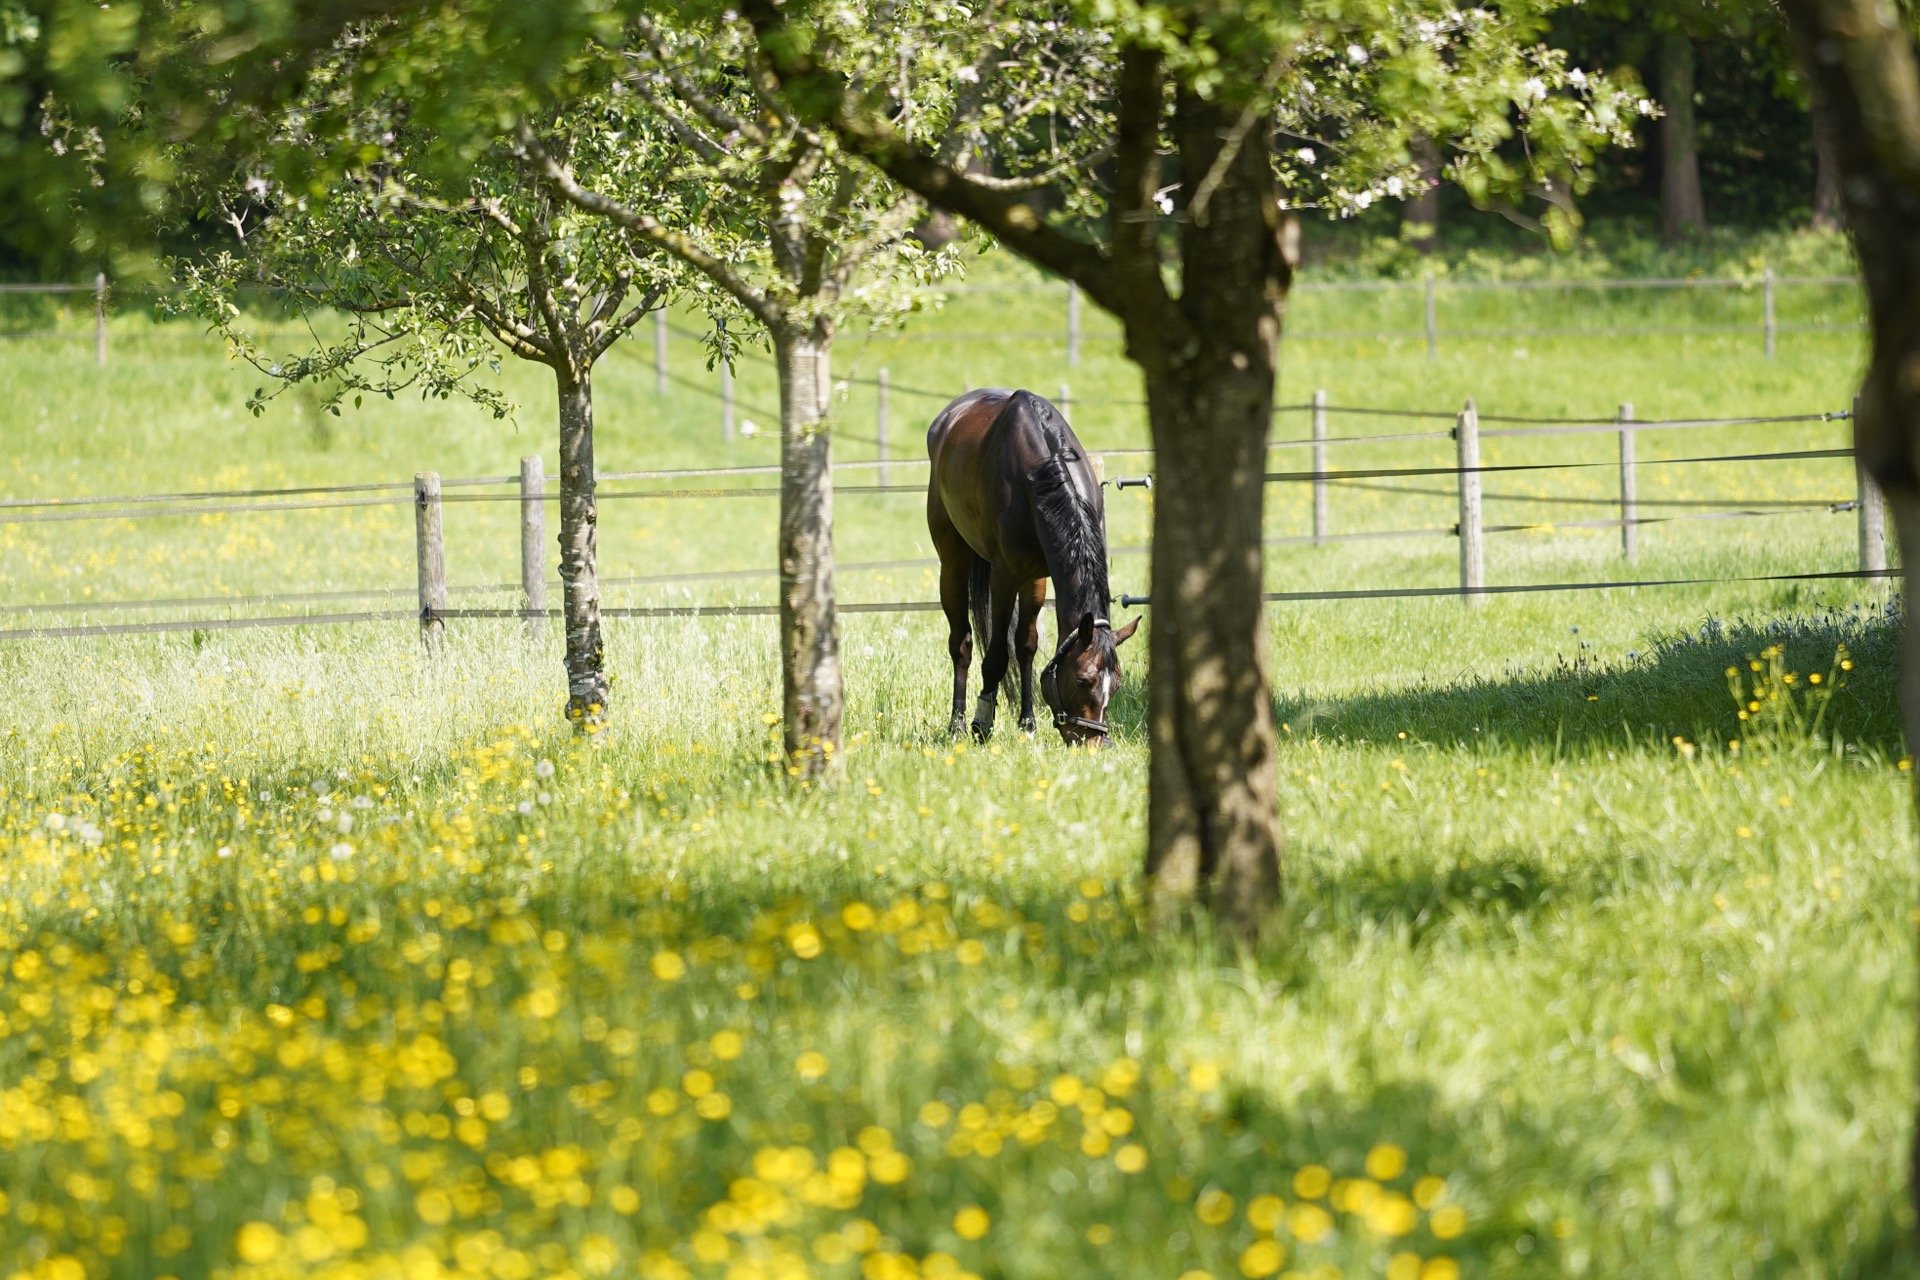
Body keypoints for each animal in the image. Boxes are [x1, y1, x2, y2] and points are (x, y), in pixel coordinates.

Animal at [925, 388, 1140, 745]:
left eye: (1117, 685)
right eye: (1082, 680)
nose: (1093, 742)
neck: (1042, 474)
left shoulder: (1037, 575)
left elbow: (1026, 645)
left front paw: (1027, 723)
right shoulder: (1004, 577)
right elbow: (996, 656)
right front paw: (982, 723)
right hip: (953, 560)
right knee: (962, 643)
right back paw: (956, 724)